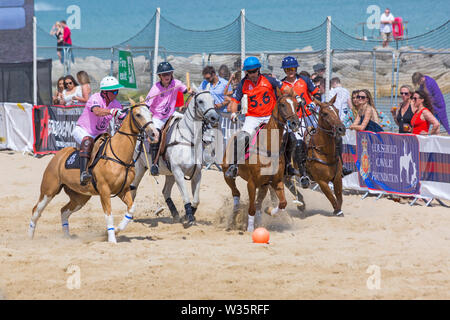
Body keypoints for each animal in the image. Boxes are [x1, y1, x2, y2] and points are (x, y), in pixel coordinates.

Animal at [28, 102, 158, 242]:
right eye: (138, 114)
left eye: (151, 114)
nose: (154, 134)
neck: (118, 155)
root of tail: (58, 155)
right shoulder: (104, 191)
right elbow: (108, 215)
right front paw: (112, 240)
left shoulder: (123, 190)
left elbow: (131, 209)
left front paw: (117, 230)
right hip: (49, 190)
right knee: (36, 210)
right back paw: (30, 238)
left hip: (80, 198)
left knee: (63, 211)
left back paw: (67, 237)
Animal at [130, 88, 220, 225]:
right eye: (200, 101)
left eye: (213, 100)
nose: (215, 117)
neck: (189, 140)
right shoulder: (178, 172)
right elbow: (186, 197)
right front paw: (189, 218)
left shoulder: (196, 173)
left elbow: (196, 200)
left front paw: (187, 215)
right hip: (139, 168)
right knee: (133, 189)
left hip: (169, 173)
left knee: (165, 191)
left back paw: (175, 214)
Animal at [222, 89, 300, 231]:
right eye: (282, 104)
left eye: (297, 105)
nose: (295, 124)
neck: (268, 147)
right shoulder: (251, 183)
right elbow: (252, 208)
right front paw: (250, 229)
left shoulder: (276, 182)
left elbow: (282, 203)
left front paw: (268, 210)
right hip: (227, 174)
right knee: (236, 193)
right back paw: (234, 215)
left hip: (264, 185)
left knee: (258, 204)